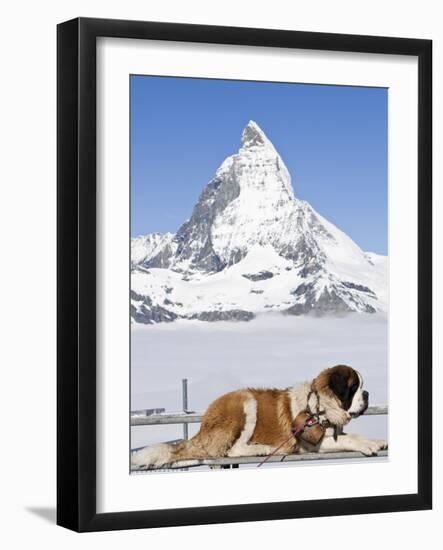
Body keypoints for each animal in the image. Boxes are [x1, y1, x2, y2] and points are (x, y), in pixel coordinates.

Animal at [133, 366, 388, 470]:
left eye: (361, 387)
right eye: (354, 387)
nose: (367, 393)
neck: (320, 405)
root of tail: (204, 423)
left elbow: (349, 435)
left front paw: (376, 441)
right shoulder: (309, 443)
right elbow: (350, 437)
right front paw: (369, 444)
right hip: (245, 402)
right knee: (231, 450)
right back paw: (262, 448)